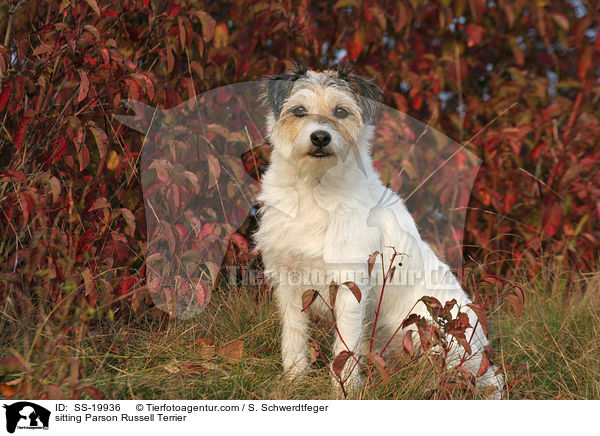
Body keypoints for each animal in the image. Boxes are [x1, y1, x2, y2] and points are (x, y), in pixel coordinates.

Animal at [254, 63, 506, 398]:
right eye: (299, 110)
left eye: (341, 111)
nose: (320, 137)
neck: (314, 189)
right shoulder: (288, 282)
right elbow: (294, 337)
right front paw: (294, 380)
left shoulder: (350, 285)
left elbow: (345, 348)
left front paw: (344, 391)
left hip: (430, 331)